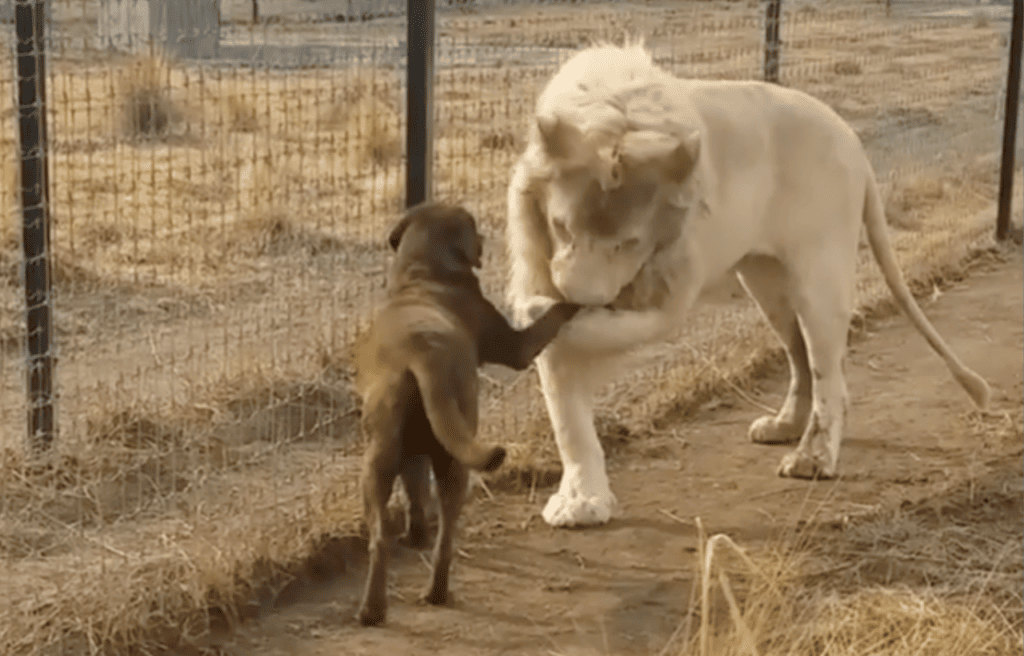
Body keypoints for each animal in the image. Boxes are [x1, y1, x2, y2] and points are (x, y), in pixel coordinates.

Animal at [506, 42, 991, 528]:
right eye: (561, 226)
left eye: (629, 243)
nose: (573, 297)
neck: (619, 112)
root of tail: (850, 139)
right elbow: (568, 419)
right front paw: (581, 501)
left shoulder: (673, 291)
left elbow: (601, 331)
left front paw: (538, 315)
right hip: (767, 284)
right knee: (802, 358)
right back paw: (785, 427)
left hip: (820, 278)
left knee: (828, 373)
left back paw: (814, 457)